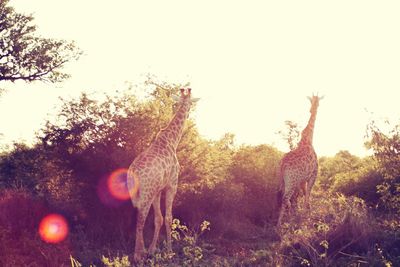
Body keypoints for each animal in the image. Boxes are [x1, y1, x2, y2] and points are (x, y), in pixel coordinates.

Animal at [126, 88, 198, 262]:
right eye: (191, 104)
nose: (188, 114)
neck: (172, 139)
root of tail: (133, 172)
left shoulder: (158, 190)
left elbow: (158, 218)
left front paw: (153, 250)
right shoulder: (172, 184)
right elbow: (168, 217)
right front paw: (169, 251)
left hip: (140, 194)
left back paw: (143, 251)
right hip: (146, 193)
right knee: (140, 220)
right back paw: (138, 255)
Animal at [276, 95, 324, 227]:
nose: (312, 109)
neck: (308, 139)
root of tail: (282, 165)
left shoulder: (302, 181)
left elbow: (304, 196)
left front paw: (303, 214)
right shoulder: (313, 175)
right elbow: (308, 196)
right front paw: (307, 217)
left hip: (283, 181)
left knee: (282, 197)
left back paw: (284, 221)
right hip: (291, 182)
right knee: (286, 199)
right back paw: (285, 223)